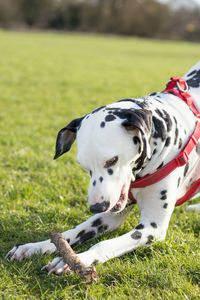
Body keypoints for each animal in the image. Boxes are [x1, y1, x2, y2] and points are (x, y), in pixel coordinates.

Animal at [6, 62, 200, 276]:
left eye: (112, 160)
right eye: (84, 167)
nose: (96, 207)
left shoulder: (152, 227)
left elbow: (103, 244)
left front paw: (74, 261)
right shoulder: (109, 215)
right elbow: (71, 233)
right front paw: (35, 247)